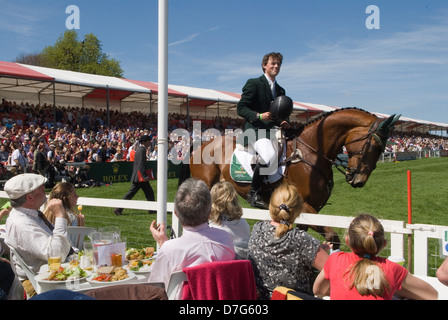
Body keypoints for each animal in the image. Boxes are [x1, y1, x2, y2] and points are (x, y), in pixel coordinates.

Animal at [178, 108, 400, 248]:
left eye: (382, 148)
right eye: (374, 146)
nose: (358, 180)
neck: (310, 152)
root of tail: (201, 145)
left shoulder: (310, 212)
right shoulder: (305, 206)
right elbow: (332, 236)